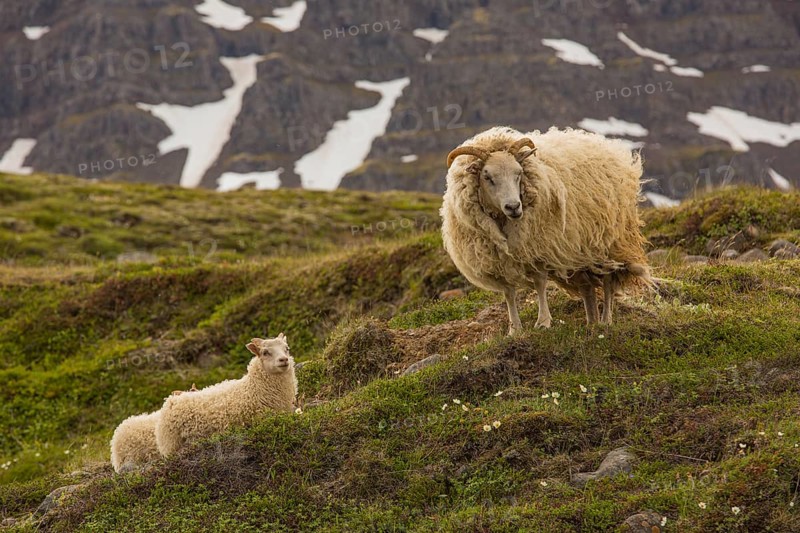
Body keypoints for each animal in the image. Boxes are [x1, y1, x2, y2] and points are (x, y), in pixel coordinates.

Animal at [155, 333, 297, 457]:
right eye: (265, 352)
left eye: (287, 348)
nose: (284, 360)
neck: (253, 389)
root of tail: (170, 400)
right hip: (170, 445)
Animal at [440, 126, 650, 334]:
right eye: (487, 177)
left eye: (519, 173)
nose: (513, 207)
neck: (503, 221)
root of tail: (604, 143)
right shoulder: (500, 261)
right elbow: (509, 294)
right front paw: (514, 329)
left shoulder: (539, 248)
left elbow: (540, 284)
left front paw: (543, 322)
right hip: (579, 252)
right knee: (587, 287)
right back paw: (591, 322)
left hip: (609, 242)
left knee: (607, 282)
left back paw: (605, 321)